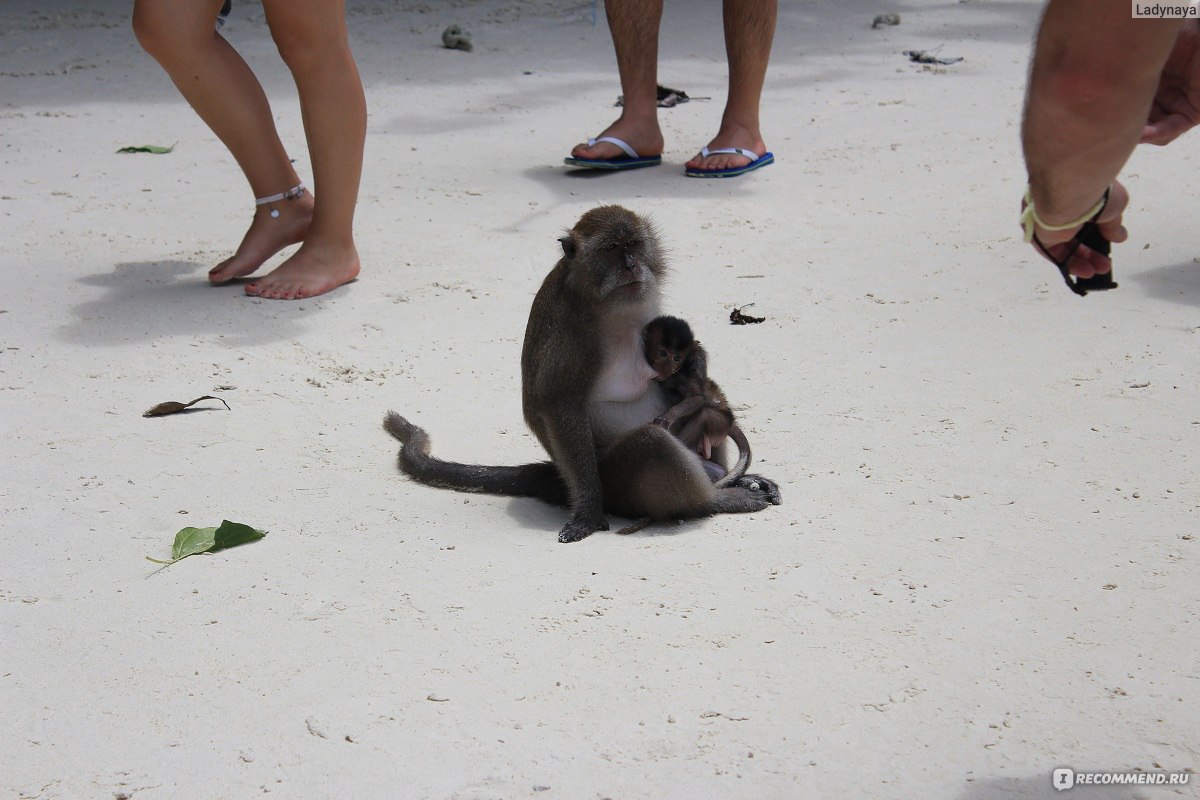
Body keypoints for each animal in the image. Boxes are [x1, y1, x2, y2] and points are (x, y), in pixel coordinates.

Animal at [379, 206, 782, 544]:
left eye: (634, 244)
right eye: (612, 249)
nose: (632, 265)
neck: (604, 302)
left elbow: (694, 380)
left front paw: (694, 366)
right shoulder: (575, 335)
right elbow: (559, 402)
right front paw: (588, 513)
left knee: (710, 404)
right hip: (618, 483)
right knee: (651, 442)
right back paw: (713, 501)